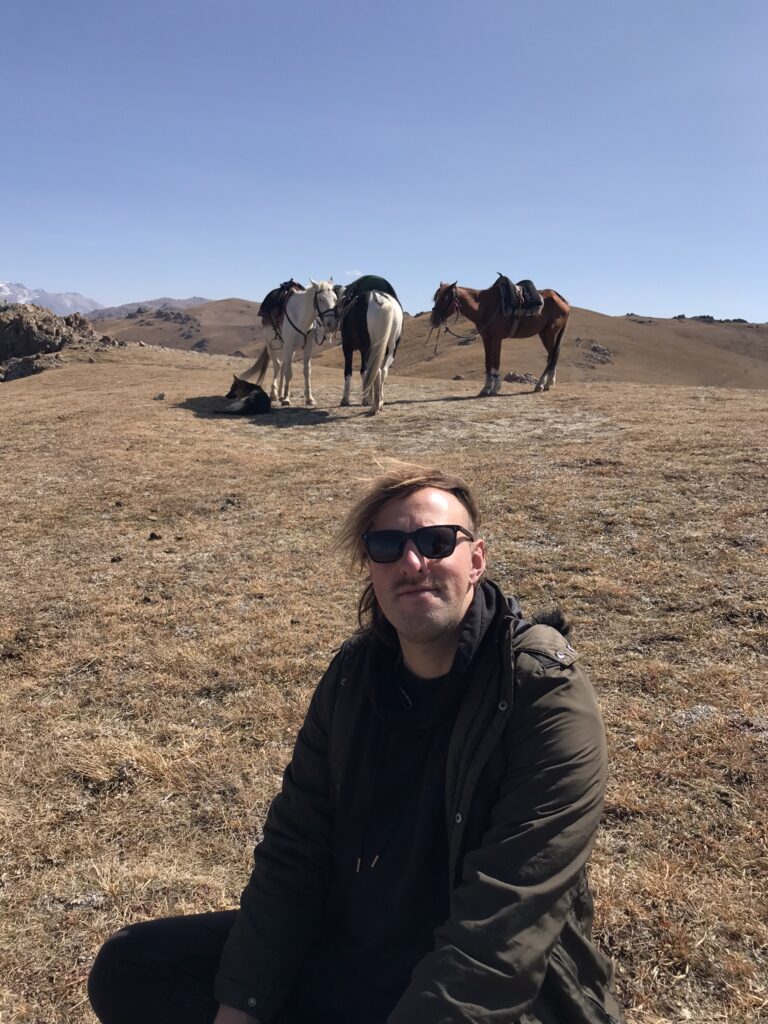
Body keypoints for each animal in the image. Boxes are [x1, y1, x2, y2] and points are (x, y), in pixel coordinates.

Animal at [339, 278, 405, 413]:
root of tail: (379, 299)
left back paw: (374, 407)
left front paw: (346, 400)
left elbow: (349, 372)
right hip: (390, 348)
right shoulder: (364, 351)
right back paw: (379, 403)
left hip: (370, 349)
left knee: (377, 372)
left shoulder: (347, 347)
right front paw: (367, 399)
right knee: (382, 371)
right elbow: (365, 372)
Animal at [434, 280, 573, 395]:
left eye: (445, 298)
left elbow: (496, 362)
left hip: (551, 331)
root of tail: (563, 300)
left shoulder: (497, 338)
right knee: (552, 355)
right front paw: (486, 388)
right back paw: (548, 382)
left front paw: (495, 388)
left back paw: (541, 384)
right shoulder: (486, 338)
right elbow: (488, 362)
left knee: (552, 356)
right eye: (436, 298)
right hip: (543, 333)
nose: (434, 319)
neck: (484, 306)